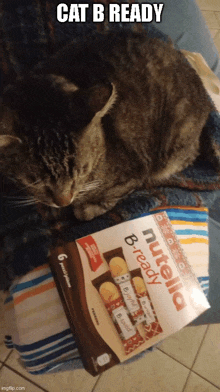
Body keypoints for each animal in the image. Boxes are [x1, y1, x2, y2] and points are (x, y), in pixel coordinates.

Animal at [0, 29, 214, 220]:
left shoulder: (134, 173)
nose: (63, 201)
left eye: (82, 170)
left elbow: (102, 200)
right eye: (33, 180)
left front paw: (85, 207)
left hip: (174, 147)